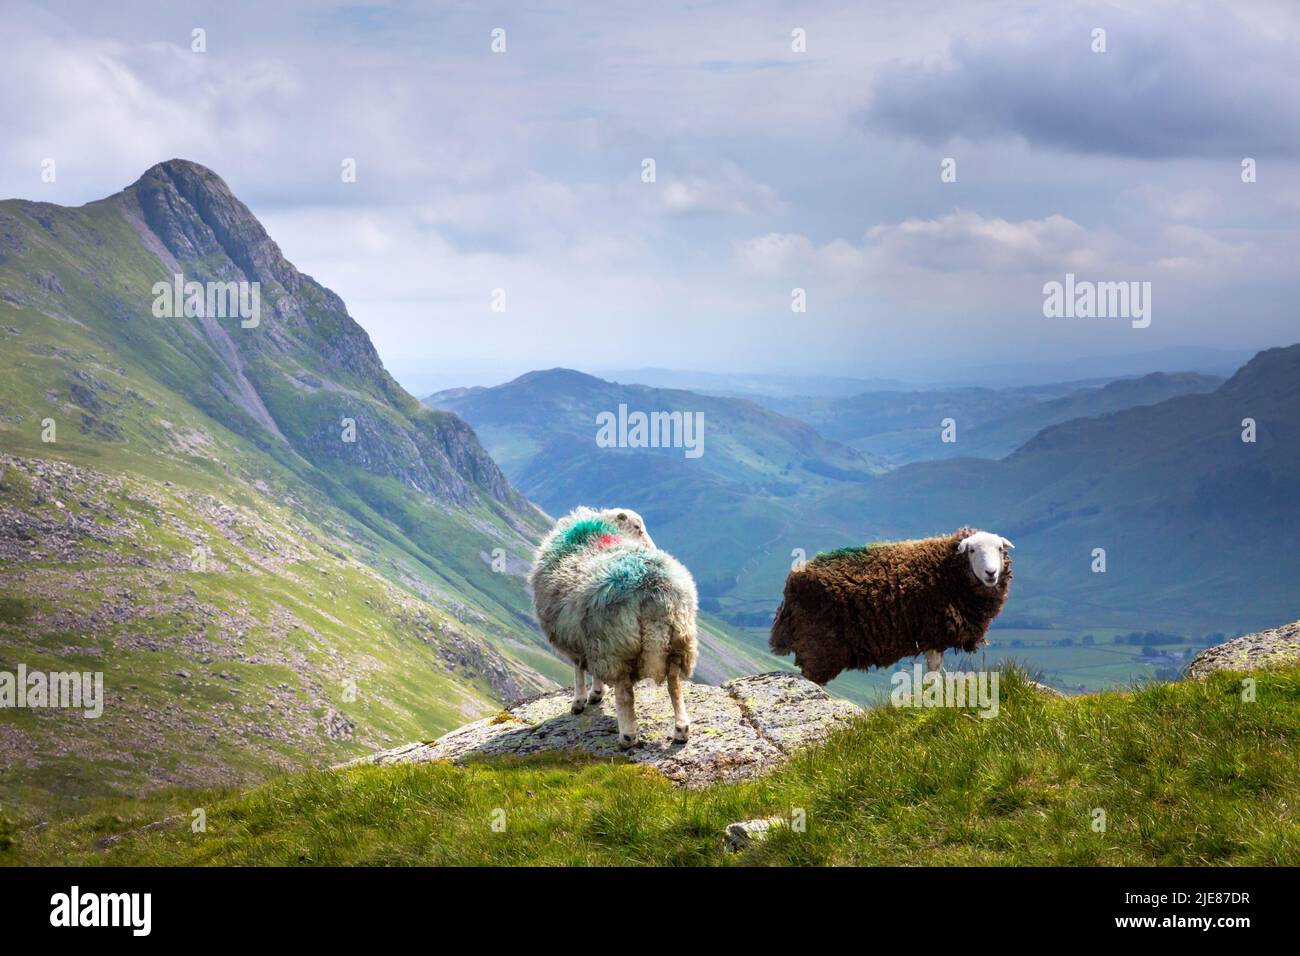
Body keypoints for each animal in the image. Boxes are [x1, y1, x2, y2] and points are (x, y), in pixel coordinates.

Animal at [764, 528, 1008, 686]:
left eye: (999, 548)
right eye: (972, 550)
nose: (991, 573)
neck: (945, 569)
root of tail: (793, 581)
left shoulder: (933, 635)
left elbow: (934, 668)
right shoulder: (933, 631)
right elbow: (934, 669)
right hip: (820, 643)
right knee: (812, 677)